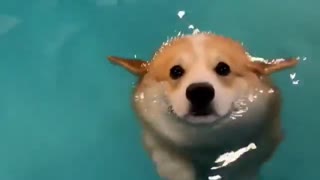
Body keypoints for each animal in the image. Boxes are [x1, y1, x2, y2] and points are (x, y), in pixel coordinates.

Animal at [107, 32, 298, 180]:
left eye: (223, 68)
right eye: (175, 71)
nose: (200, 92)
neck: (204, 141)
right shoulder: (157, 138)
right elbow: (171, 164)